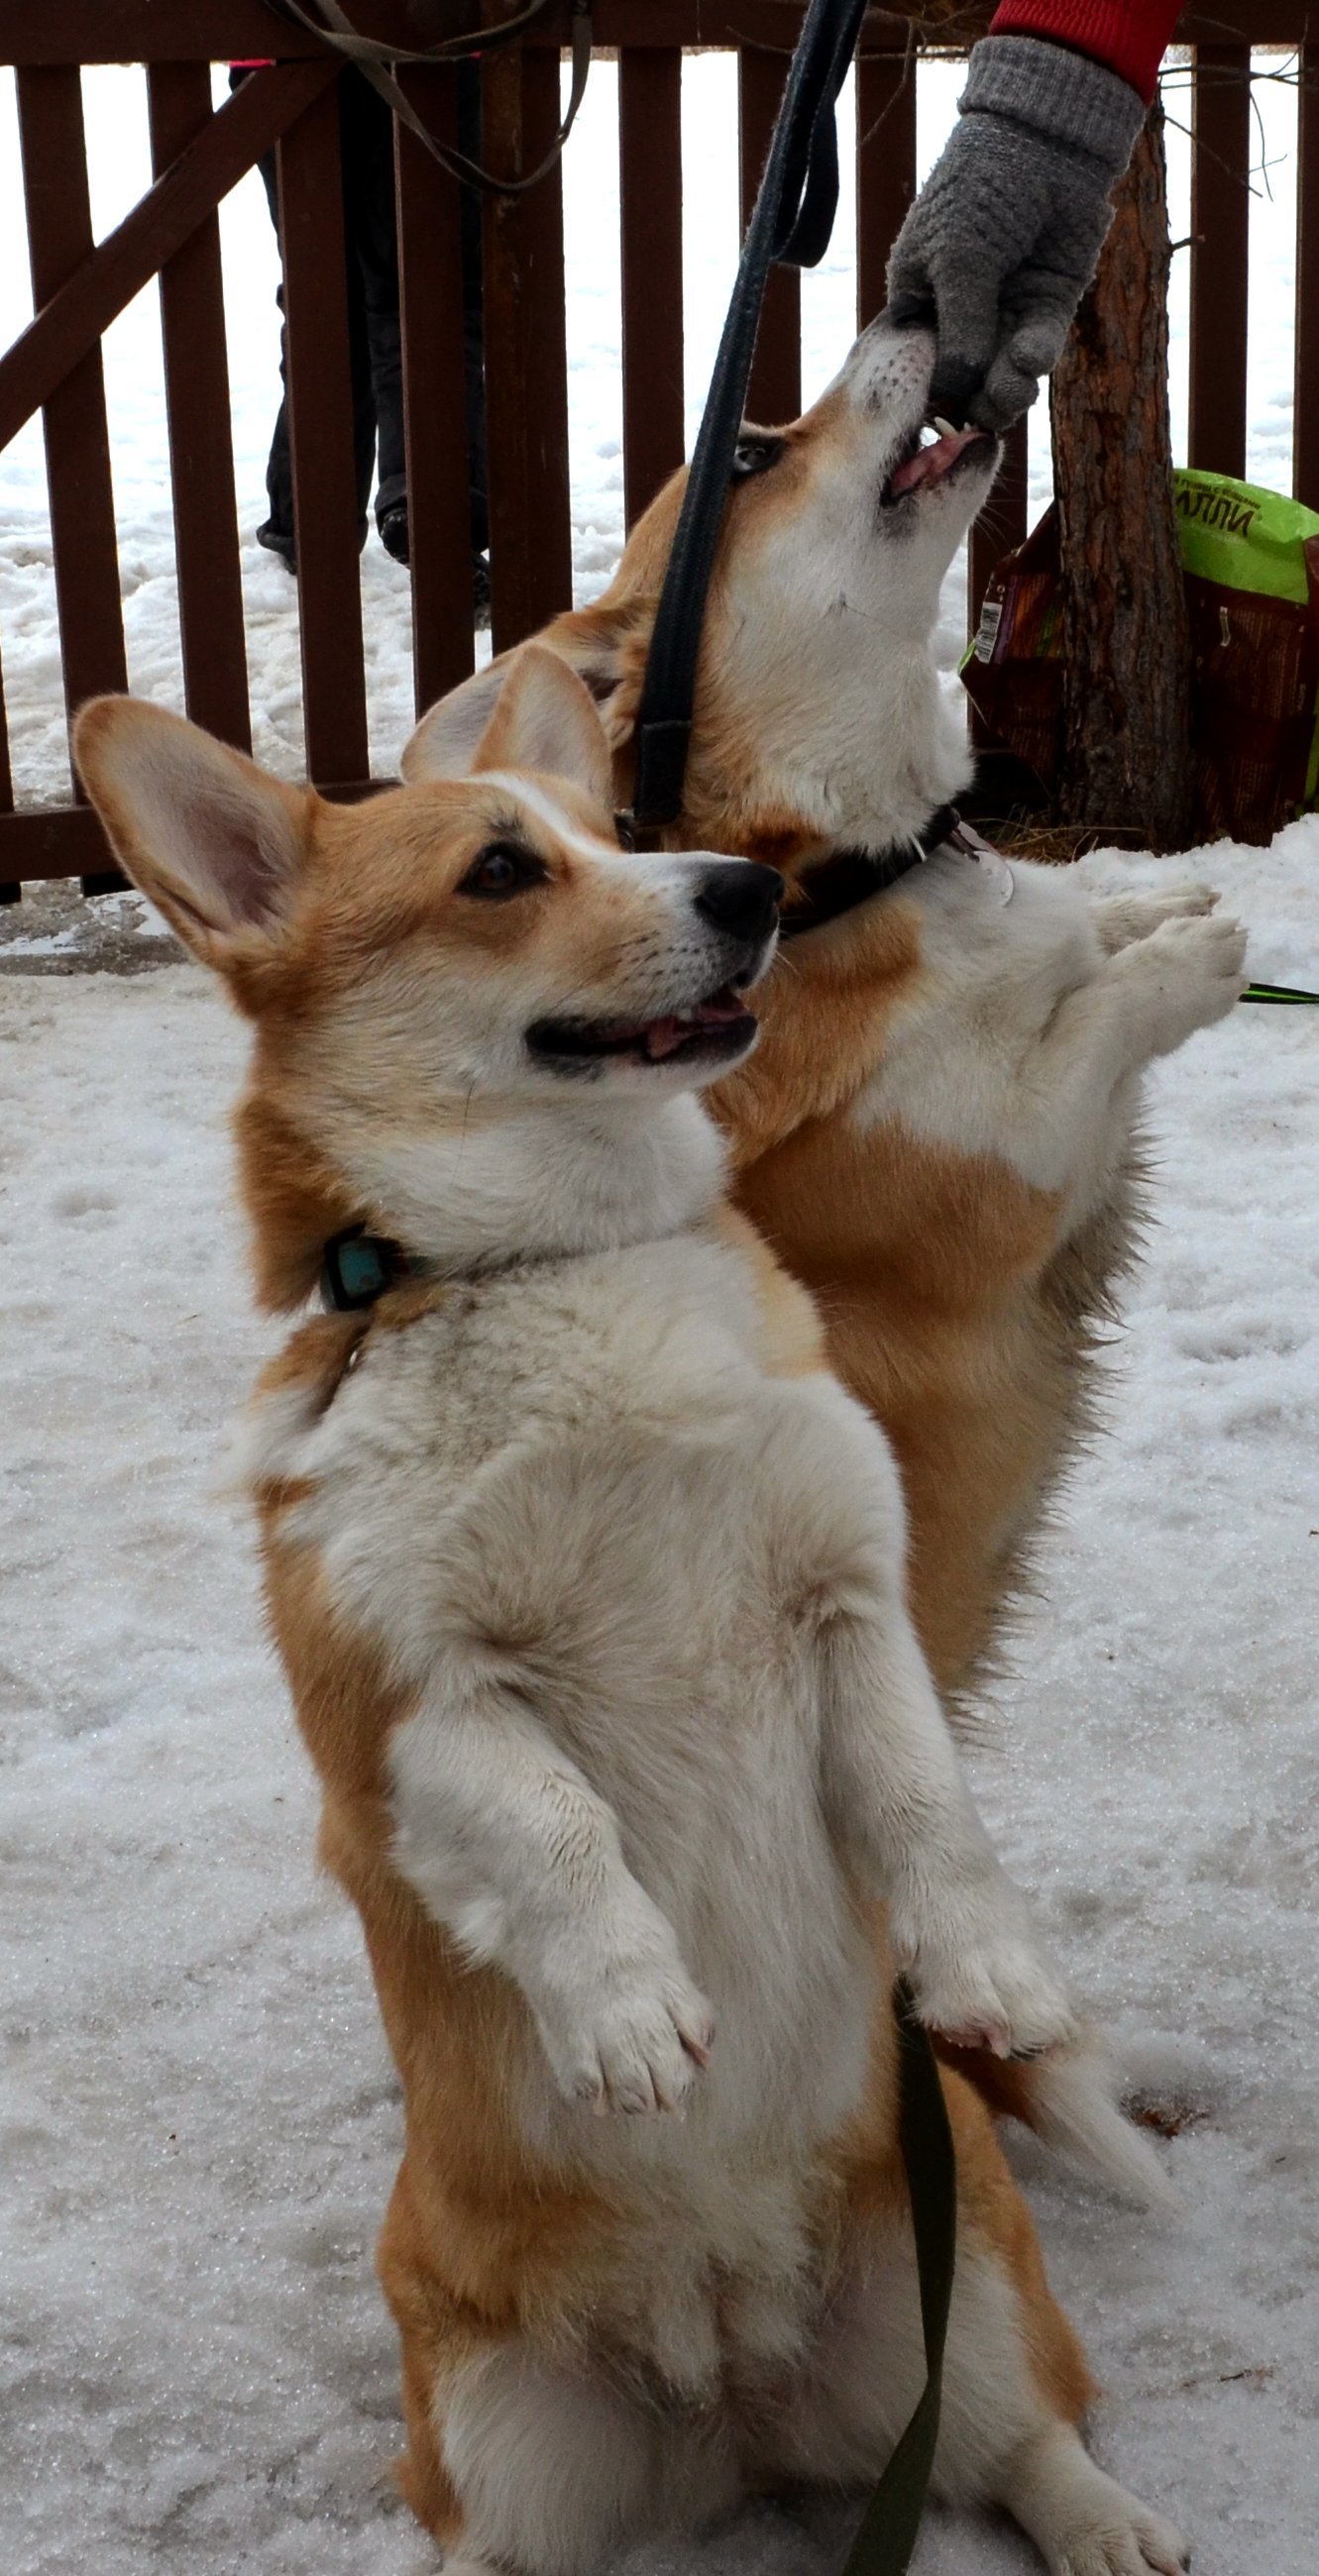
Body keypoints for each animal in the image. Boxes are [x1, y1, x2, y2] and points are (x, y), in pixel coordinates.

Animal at [71, 659, 1184, 2576]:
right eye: (501, 871)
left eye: (615, 832)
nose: (744, 894)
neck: (550, 1269)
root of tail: (723, 2389)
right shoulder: (406, 1713)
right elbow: (553, 1825)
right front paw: (628, 2010)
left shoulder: (846, 1601)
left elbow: (925, 1802)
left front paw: (987, 1966)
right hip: (494, 2444)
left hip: (960, 2296)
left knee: (1027, 2441)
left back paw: (1111, 2525)